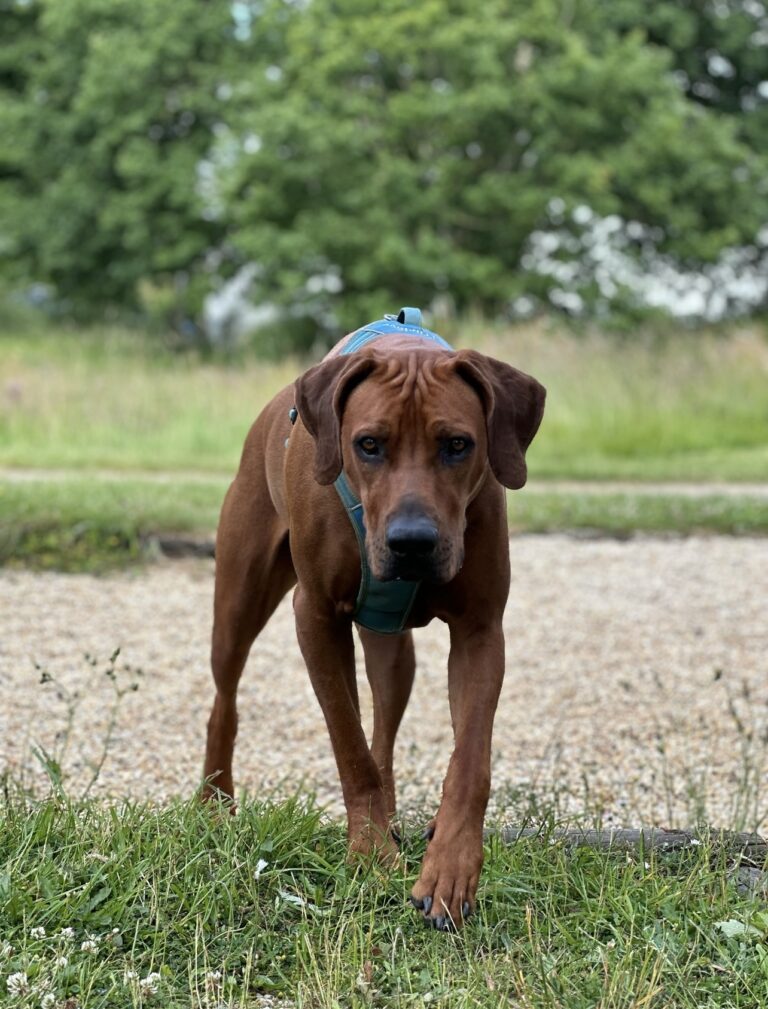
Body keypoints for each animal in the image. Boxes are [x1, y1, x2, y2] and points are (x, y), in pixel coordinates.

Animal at [200, 306, 540, 928]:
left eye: (458, 444)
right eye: (369, 444)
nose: (412, 543)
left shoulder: (481, 629)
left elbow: (468, 758)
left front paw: (449, 868)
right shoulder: (314, 618)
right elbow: (348, 745)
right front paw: (371, 853)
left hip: (393, 650)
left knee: (384, 719)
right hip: (237, 598)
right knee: (225, 700)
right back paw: (214, 802)